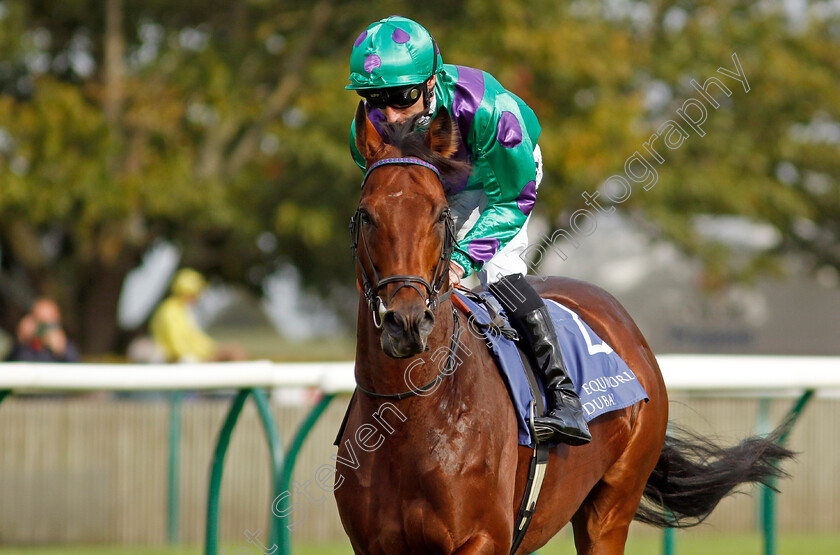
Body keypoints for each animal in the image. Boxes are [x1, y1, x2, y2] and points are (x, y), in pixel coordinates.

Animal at [334, 102, 796, 552]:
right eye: (366, 215)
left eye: (440, 214)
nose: (407, 323)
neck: (412, 414)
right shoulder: (370, 545)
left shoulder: (483, 537)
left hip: (611, 508)